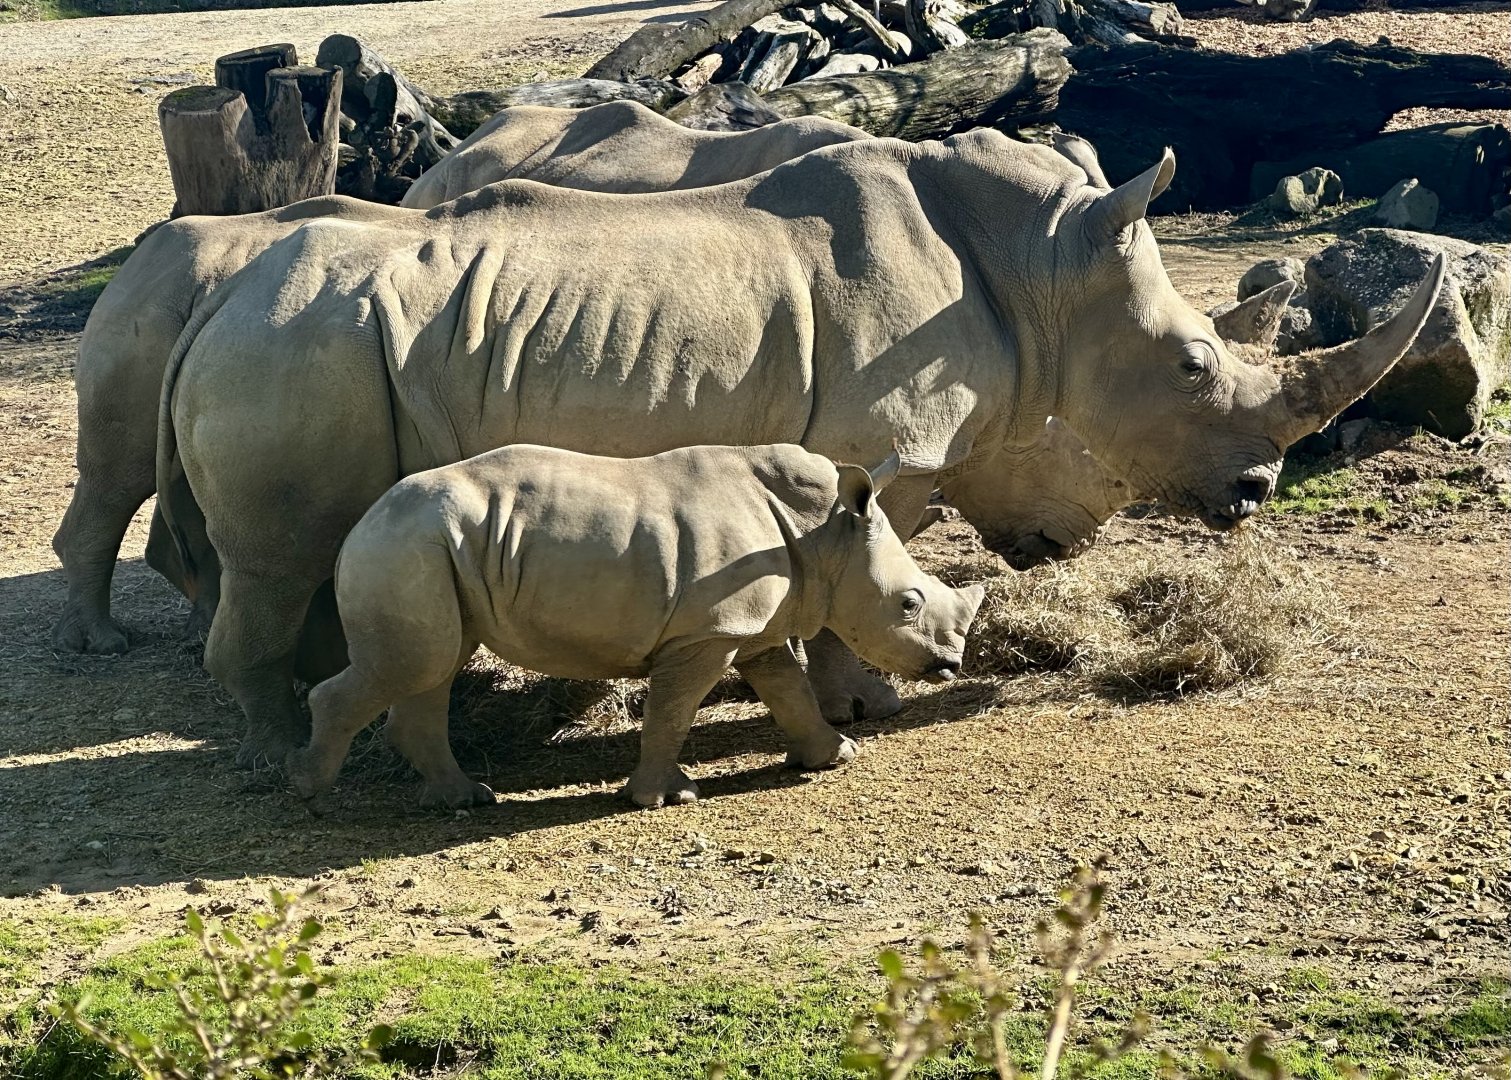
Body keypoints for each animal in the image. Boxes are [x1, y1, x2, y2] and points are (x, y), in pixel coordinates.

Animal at [159, 128, 1443, 767]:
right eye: (1188, 367)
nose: (1257, 490)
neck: (1040, 267)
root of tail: (210, 301)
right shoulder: (885, 448)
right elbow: (860, 567)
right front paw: (866, 704)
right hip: (298, 348)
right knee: (278, 559)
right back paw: (280, 756)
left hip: (308, 341)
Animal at [285, 444, 984, 809]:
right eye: (909, 604)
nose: (951, 665)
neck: (825, 536)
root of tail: (360, 525)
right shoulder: (708, 631)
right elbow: (674, 709)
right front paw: (665, 798)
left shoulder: (748, 629)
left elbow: (788, 688)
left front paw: (834, 757)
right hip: (406, 546)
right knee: (415, 665)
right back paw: (310, 794)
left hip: (429, 548)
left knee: (433, 665)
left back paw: (466, 798)